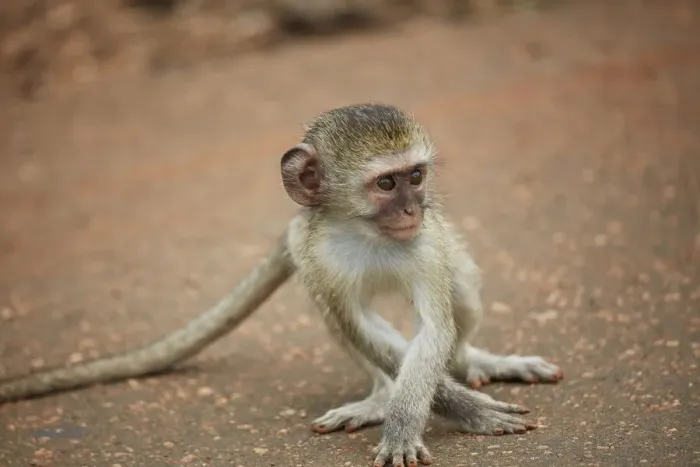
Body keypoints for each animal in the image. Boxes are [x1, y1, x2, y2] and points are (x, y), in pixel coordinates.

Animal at [0, 103, 563, 466]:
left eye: (416, 176)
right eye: (386, 183)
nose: (412, 210)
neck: (365, 233)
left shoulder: (424, 245)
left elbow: (431, 329)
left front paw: (418, 419)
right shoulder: (316, 254)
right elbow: (358, 324)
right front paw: (436, 411)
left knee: (458, 288)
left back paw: (471, 361)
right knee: (338, 315)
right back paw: (382, 396)